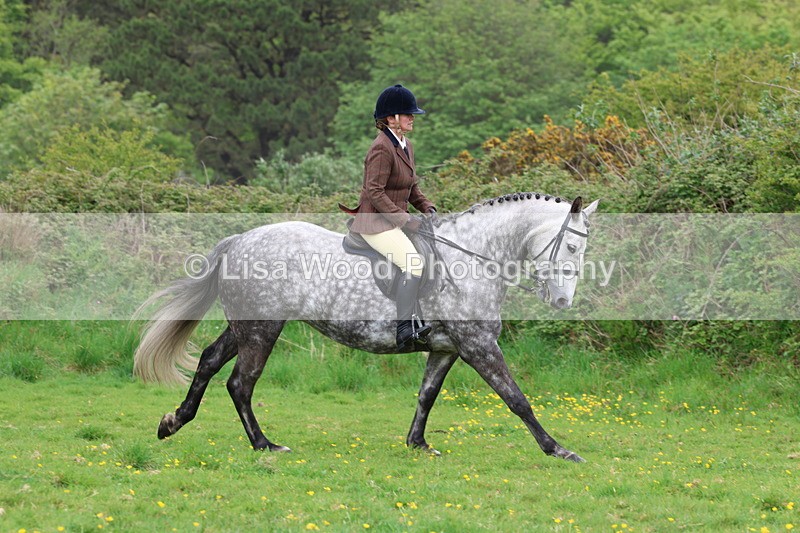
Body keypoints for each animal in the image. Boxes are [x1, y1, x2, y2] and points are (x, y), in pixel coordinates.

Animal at [133, 192, 598, 463]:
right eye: (571, 246)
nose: (562, 302)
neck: (473, 257)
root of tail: (240, 240)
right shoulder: (478, 345)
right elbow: (517, 399)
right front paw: (558, 449)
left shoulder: (447, 348)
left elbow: (427, 394)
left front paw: (418, 444)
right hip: (264, 329)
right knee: (240, 383)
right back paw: (265, 445)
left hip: (246, 327)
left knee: (209, 362)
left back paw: (173, 422)